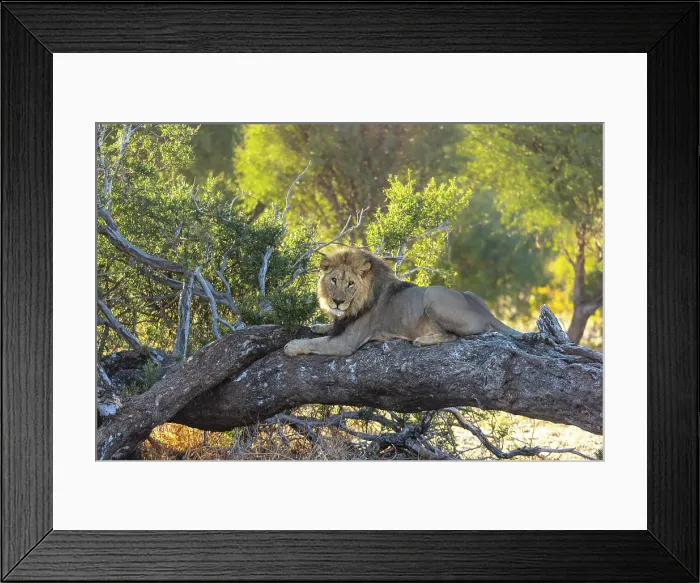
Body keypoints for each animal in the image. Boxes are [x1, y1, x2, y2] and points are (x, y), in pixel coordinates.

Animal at [283, 248, 521, 357]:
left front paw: (291, 346)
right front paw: (318, 325)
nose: (337, 301)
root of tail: (487, 313)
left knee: (453, 336)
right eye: (334, 280)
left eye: (350, 284)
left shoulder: (346, 343)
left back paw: (421, 340)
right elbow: (326, 330)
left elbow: (315, 343)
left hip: (432, 294)